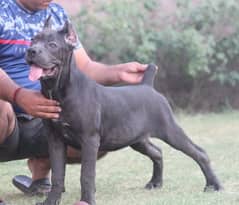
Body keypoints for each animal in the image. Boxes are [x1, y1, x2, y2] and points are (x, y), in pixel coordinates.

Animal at [25, 18, 222, 205]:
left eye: (52, 44)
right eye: (33, 40)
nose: (31, 51)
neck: (58, 90)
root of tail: (147, 86)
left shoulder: (89, 140)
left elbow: (86, 174)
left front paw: (87, 201)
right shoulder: (55, 140)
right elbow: (58, 174)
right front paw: (50, 201)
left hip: (170, 131)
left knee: (199, 152)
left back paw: (214, 185)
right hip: (137, 139)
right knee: (158, 152)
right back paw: (156, 182)